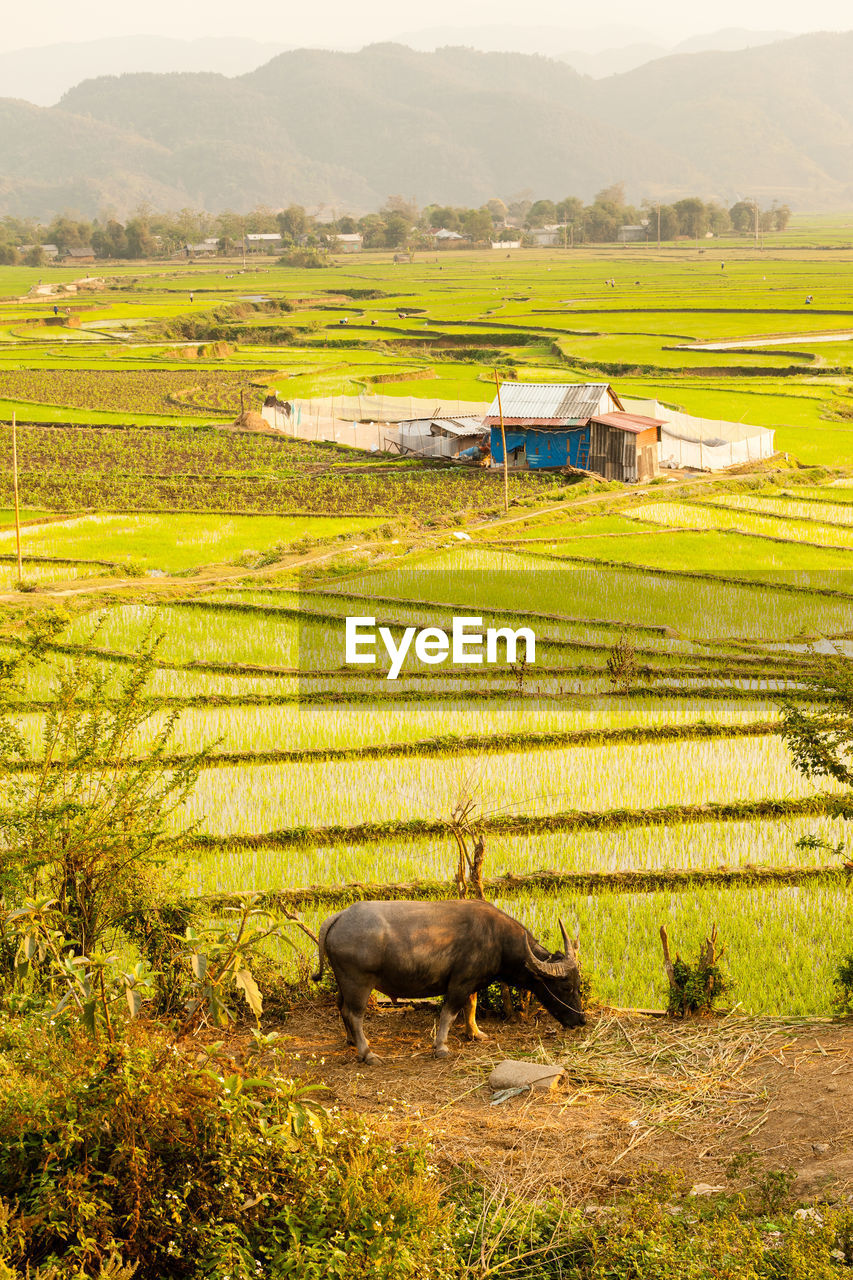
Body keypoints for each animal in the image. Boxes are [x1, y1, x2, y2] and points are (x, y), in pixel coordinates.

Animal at [312, 896, 584, 1064]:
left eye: (578, 984)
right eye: (566, 986)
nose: (581, 1020)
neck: (496, 938)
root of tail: (340, 917)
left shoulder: (471, 983)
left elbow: (471, 1006)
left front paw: (475, 1033)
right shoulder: (459, 984)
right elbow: (449, 1013)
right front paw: (441, 1047)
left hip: (344, 983)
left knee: (341, 1007)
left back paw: (351, 1041)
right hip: (359, 983)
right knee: (354, 1014)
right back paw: (367, 1053)